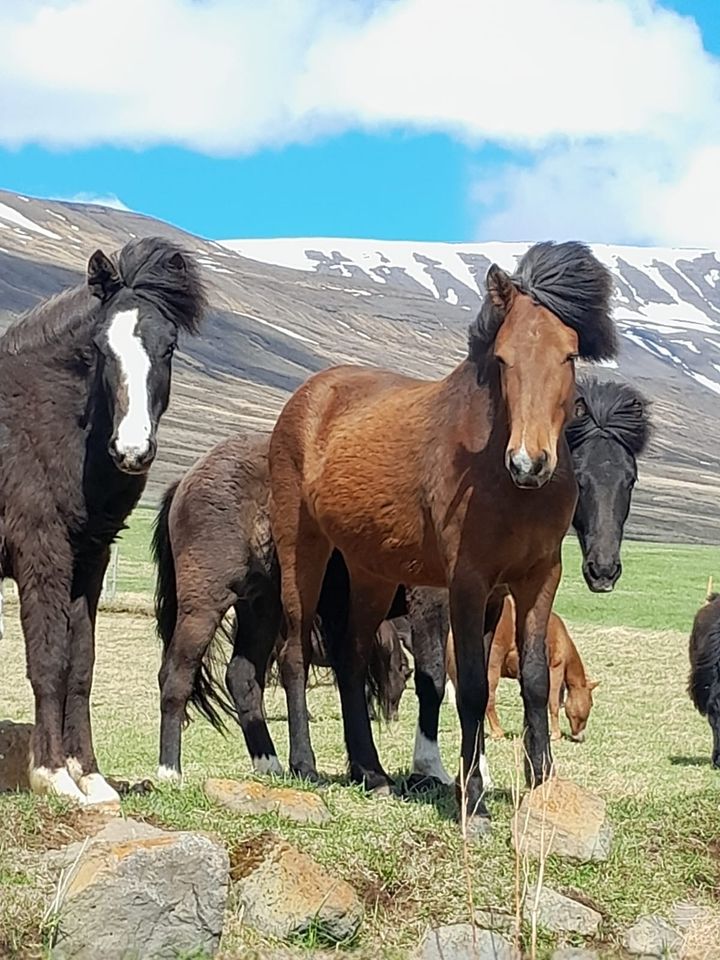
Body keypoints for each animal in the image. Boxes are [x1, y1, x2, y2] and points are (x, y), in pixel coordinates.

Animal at [0, 238, 205, 804]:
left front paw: (88, 775)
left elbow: (81, 666)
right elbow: (48, 659)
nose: (131, 450)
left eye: (169, 347)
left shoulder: (89, 559)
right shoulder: (41, 551)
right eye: (99, 348)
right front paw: (52, 775)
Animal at [268, 238, 616, 824]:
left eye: (568, 356)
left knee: (351, 655)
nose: (529, 462)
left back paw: (371, 772)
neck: (502, 480)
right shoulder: (467, 583)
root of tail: (309, 395)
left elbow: (534, 683)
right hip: (303, 549)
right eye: (503, 359)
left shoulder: (536, 579)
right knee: (295, 652)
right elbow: (472, 687)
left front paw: (543, 786)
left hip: (372, 571)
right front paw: (472, 798)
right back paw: (305, 764)